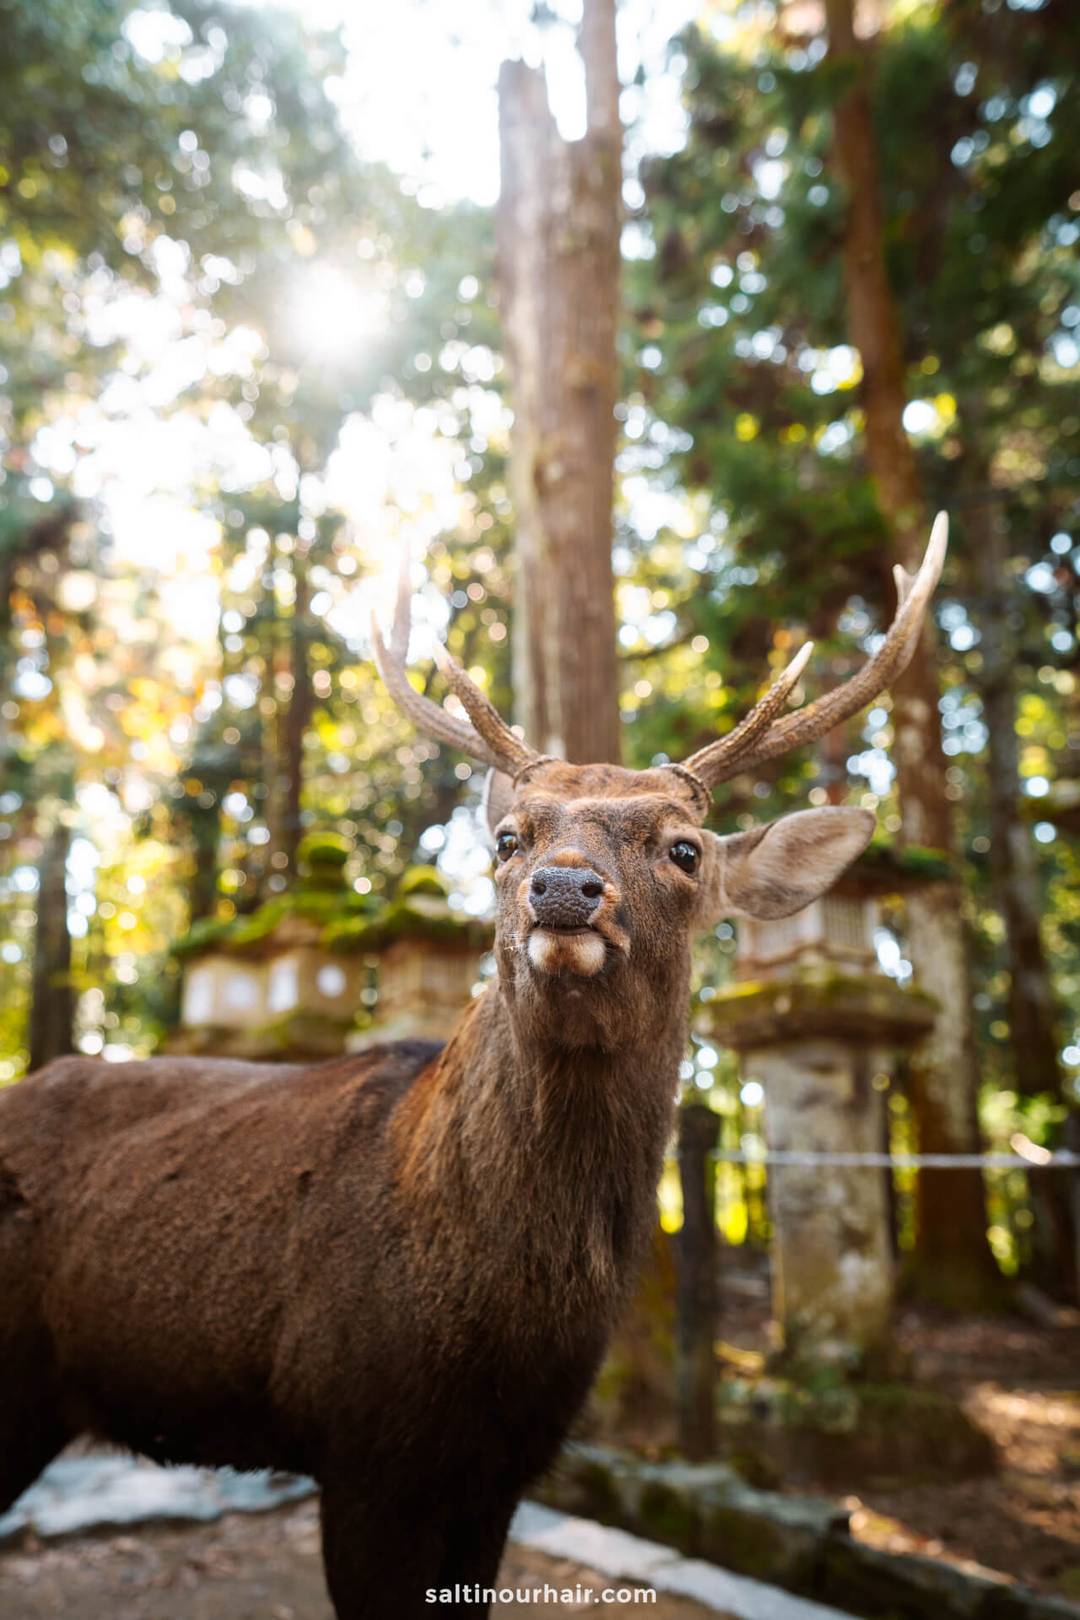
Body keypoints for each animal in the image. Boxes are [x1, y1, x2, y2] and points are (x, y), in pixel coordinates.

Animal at [0, 516, 946, 1618]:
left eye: (684, 849)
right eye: (505, 837)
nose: (564, 888)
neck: (499, 1322)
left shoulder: (505, 1465)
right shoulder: (363, 1445)